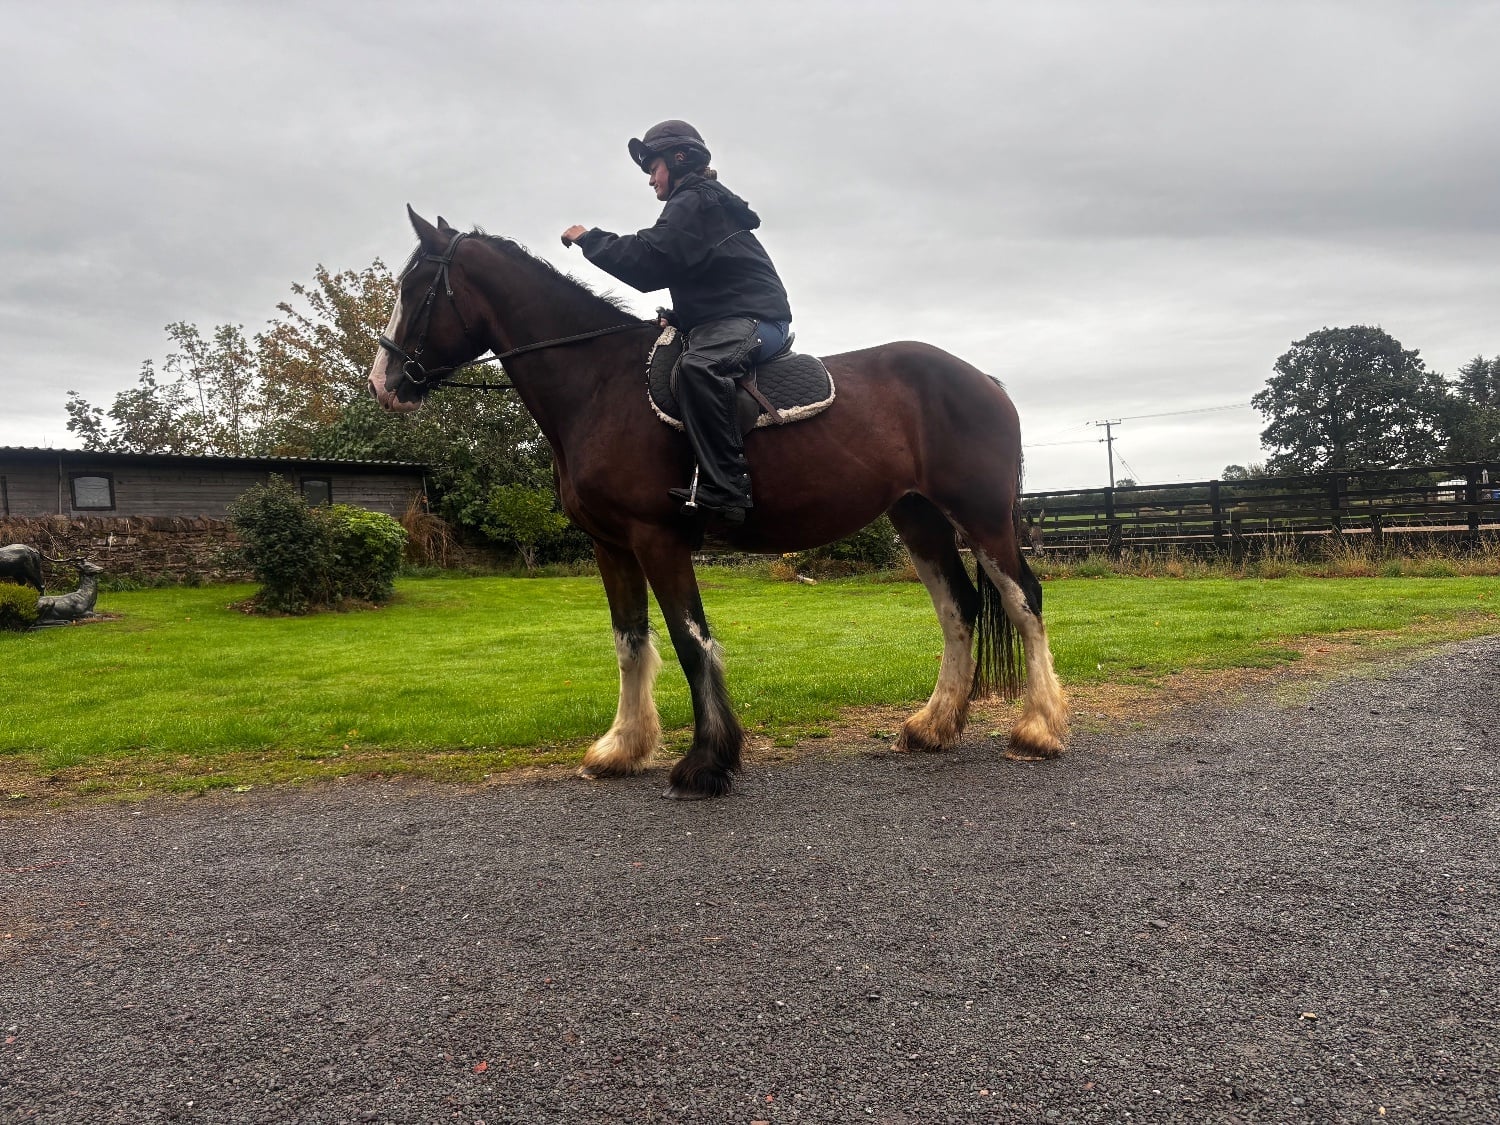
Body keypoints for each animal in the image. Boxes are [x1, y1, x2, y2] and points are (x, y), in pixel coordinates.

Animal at [370, 207, 1069, 799]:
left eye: (418, 288)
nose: (383, 384)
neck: (600, 384)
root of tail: (983, 380)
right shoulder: (611, 544)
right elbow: (630, 640)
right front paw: (622, 748)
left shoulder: (657, 538)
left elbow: (688, 639)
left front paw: (707, 762)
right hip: (918, 518)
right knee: (958, 607)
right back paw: (934, 724)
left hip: (981, 517)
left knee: (1023, 600)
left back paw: (1039, 729)